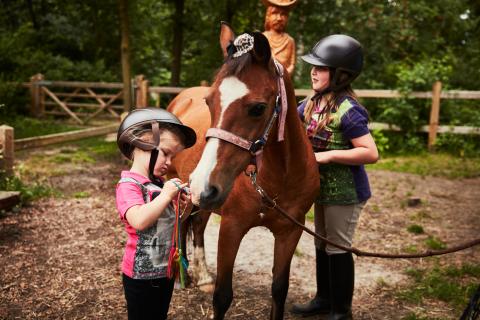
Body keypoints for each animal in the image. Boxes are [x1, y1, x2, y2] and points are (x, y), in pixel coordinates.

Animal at [168, 23, 318, 320]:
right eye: (209, 102)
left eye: (258, 108)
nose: (203, 183)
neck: (277, 180)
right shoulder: (232, 228)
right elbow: (223, 297)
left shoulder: (290, 231)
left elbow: (279, 289)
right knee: (179, 223)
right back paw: (181, 277)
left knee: (197, 225)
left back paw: (202, 276)